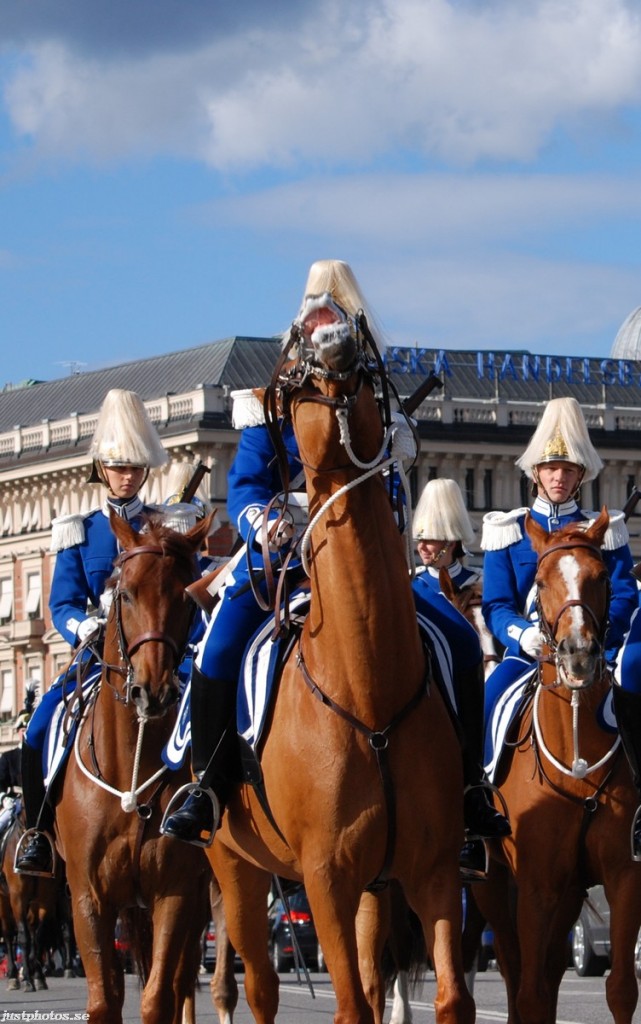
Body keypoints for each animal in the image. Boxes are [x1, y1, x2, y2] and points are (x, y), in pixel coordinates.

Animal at [52, 512, 211, 1024]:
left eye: (186, 596)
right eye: (124, 594)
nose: (152, 690)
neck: (130, 772)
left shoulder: (175, 892)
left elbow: (159, 998)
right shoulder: (88, 897)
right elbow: (105, 1000)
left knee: (181, 982)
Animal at [206, 319, 471, 1024]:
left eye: (365, 368)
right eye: (297, 366)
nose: (335, 338)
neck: (369, 689)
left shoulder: (433, 870)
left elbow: (448, 997)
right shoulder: (324, 879)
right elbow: (348, 1003)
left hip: (376, 888)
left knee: (377, 983)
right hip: (235, 866)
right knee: (256, 985)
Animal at [471, 512, 638, 1024]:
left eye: (601, 575)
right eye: (541, 581)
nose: (578, 655)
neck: (576, 761)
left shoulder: (624, 875)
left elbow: (620, 989)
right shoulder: (536, 883)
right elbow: (528, 991)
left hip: (570, 891)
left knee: (547, 970)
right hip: (492, 884)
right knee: (514, 969)